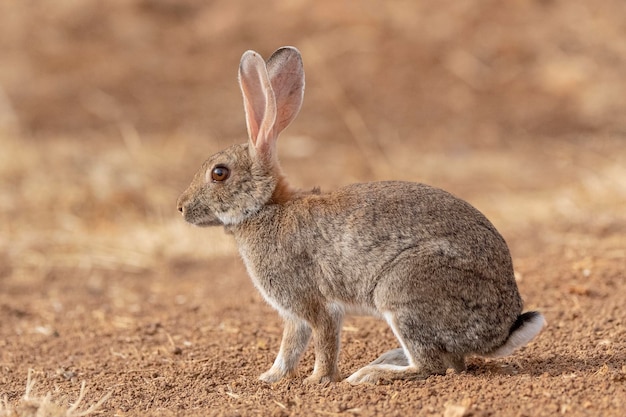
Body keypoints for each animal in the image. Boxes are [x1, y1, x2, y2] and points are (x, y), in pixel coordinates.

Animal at [176, 45, 540, 384]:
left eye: (219, 173)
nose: (181, 206)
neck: (267, 207)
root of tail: (501, 330)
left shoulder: (313, 303)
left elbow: (321, 340)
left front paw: (317, 380)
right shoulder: (294, 315)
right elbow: (289, 348)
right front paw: (268, 378)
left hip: (402, 290)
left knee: (432, 365)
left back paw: (371, 374)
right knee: (453, 362)